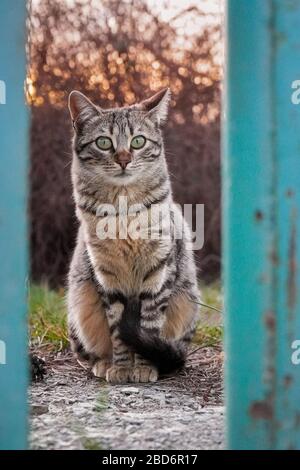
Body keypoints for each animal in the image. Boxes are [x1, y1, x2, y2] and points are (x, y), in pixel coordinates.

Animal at [67, 88, 200, 382]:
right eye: (103, 142)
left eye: (138, 141)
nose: (124, 160)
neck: (123, 207)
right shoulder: (106, 275)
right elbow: (118, 329)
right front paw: (120, 367)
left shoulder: (158, 271)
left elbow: (147, 326)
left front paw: (143, 368)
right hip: (79, 301)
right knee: (86, 352)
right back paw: (102, 363)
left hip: (187, 302)